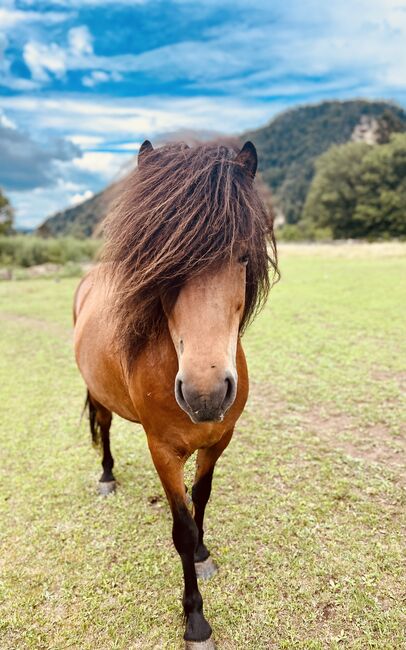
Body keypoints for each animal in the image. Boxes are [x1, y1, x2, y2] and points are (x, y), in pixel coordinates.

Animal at [73, 139, 278, 644]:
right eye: (163, 265)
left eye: (242, 255)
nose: (206, 394)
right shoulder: (162, 450)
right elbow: (181, 528)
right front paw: (196, 620)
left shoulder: (218, 441)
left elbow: (199, 501)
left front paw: (203, 554)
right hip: (98, 394)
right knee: (105, 427)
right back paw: (106, 477)